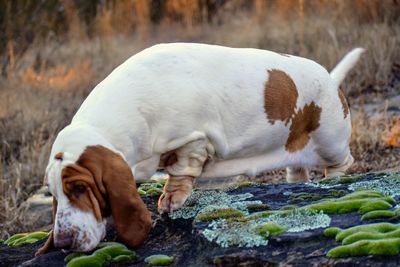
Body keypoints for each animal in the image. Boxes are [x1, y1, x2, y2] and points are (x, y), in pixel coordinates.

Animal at [36, 43, 364, 255]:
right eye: (54, 194)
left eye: (80, 188)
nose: (62, 243)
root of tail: (330, 79)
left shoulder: (193, 139)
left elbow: (181, 170)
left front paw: (170, 200)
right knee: (297, 169)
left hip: (331, 140)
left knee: (342, 161)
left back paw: (334, 179)